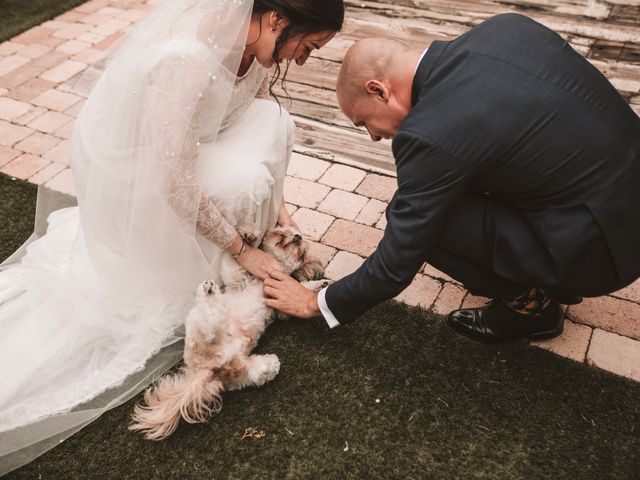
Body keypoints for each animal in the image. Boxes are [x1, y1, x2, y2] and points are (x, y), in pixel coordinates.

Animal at [131, 227, 330, 440]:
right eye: (282, 233)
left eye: (302, 253)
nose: (298, 237)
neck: (264, 278)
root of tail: (210, 367)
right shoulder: (237, 279)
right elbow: (231, 264)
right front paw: (248, 235)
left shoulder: (279, 306)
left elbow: (298, 290)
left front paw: (318, 285)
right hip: (203, 335)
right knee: (210, 323)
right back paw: (208, 293)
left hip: (234, 366)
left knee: (252, 370)